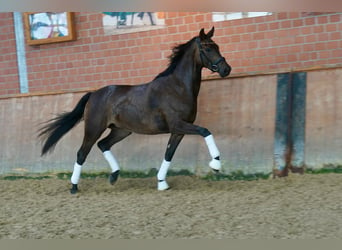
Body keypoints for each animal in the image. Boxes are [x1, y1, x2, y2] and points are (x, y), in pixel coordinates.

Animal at [38, 26, 231, 193]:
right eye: (207, 48)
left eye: (217, 46)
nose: (226, 69)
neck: (178, 87)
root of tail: (94, 94)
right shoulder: (178, 124)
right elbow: (205, 131)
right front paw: (216, 164)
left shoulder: (178, 131)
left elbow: (169, 154)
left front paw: (162, 183)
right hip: (94, 129)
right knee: (82, 153)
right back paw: (74, 187)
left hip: (121, 130)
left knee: (103, 144)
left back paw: (114, 176)